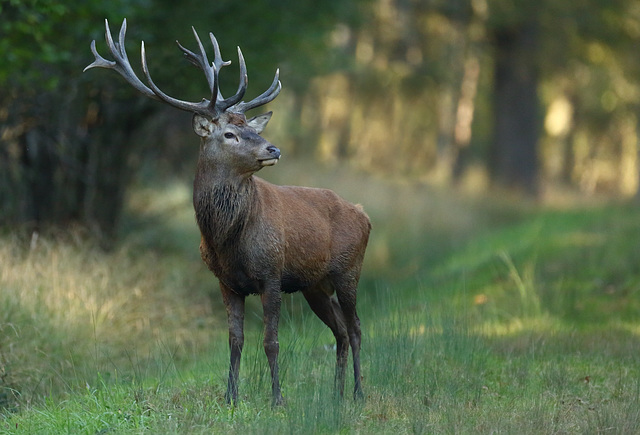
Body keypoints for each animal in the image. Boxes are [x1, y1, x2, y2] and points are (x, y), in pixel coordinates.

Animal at [85, 19, 370, 408]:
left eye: (253, 127)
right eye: (231, 133)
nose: (273, 148)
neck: (226, 239)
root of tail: (363, 214)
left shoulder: (271, 273)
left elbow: (271, 341)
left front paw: (277, 399)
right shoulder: (226, 282)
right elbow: (235, 341)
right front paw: (230, 397)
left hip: (348, 270)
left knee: (355, 328)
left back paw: (357, 392)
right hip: (314, 285)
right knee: (340, 330)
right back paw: (336, 394)